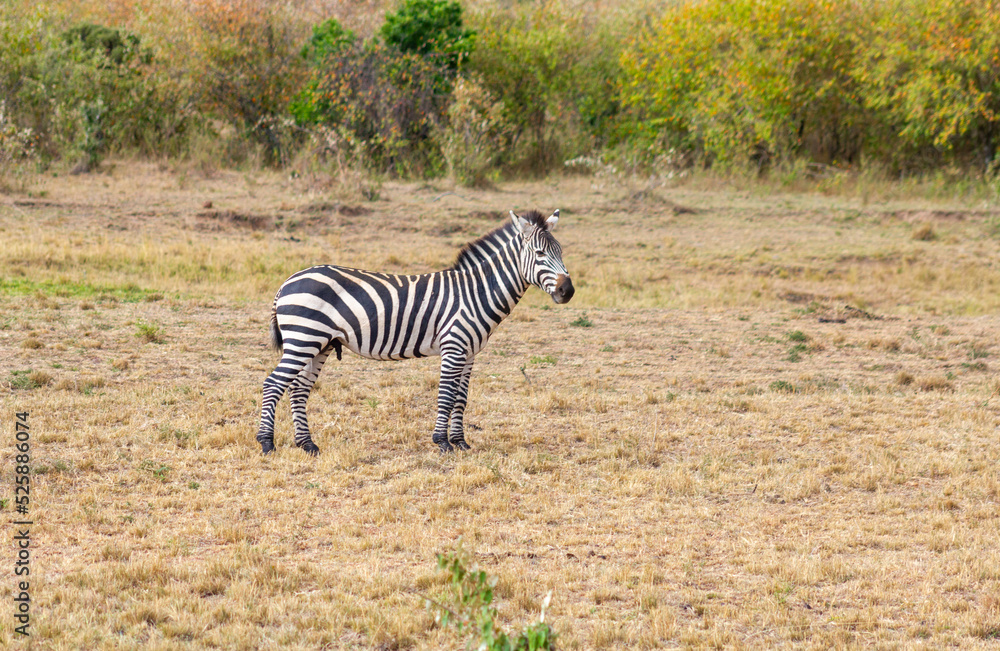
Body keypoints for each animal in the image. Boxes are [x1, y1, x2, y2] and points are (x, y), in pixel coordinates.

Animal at [256, 209, 575, 455]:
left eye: (561, 251)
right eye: (539, 253)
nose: (567, 291)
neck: (476, 292)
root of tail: (287, 282)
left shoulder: (470, 353)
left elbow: (461, 398)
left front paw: (460, 442)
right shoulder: (453, 347)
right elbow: (446, 395)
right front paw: (442, 442)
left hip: (319, 344)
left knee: (298, 389)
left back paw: (307, 445)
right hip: (303, 339)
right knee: (273, 384)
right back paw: (267, 443)